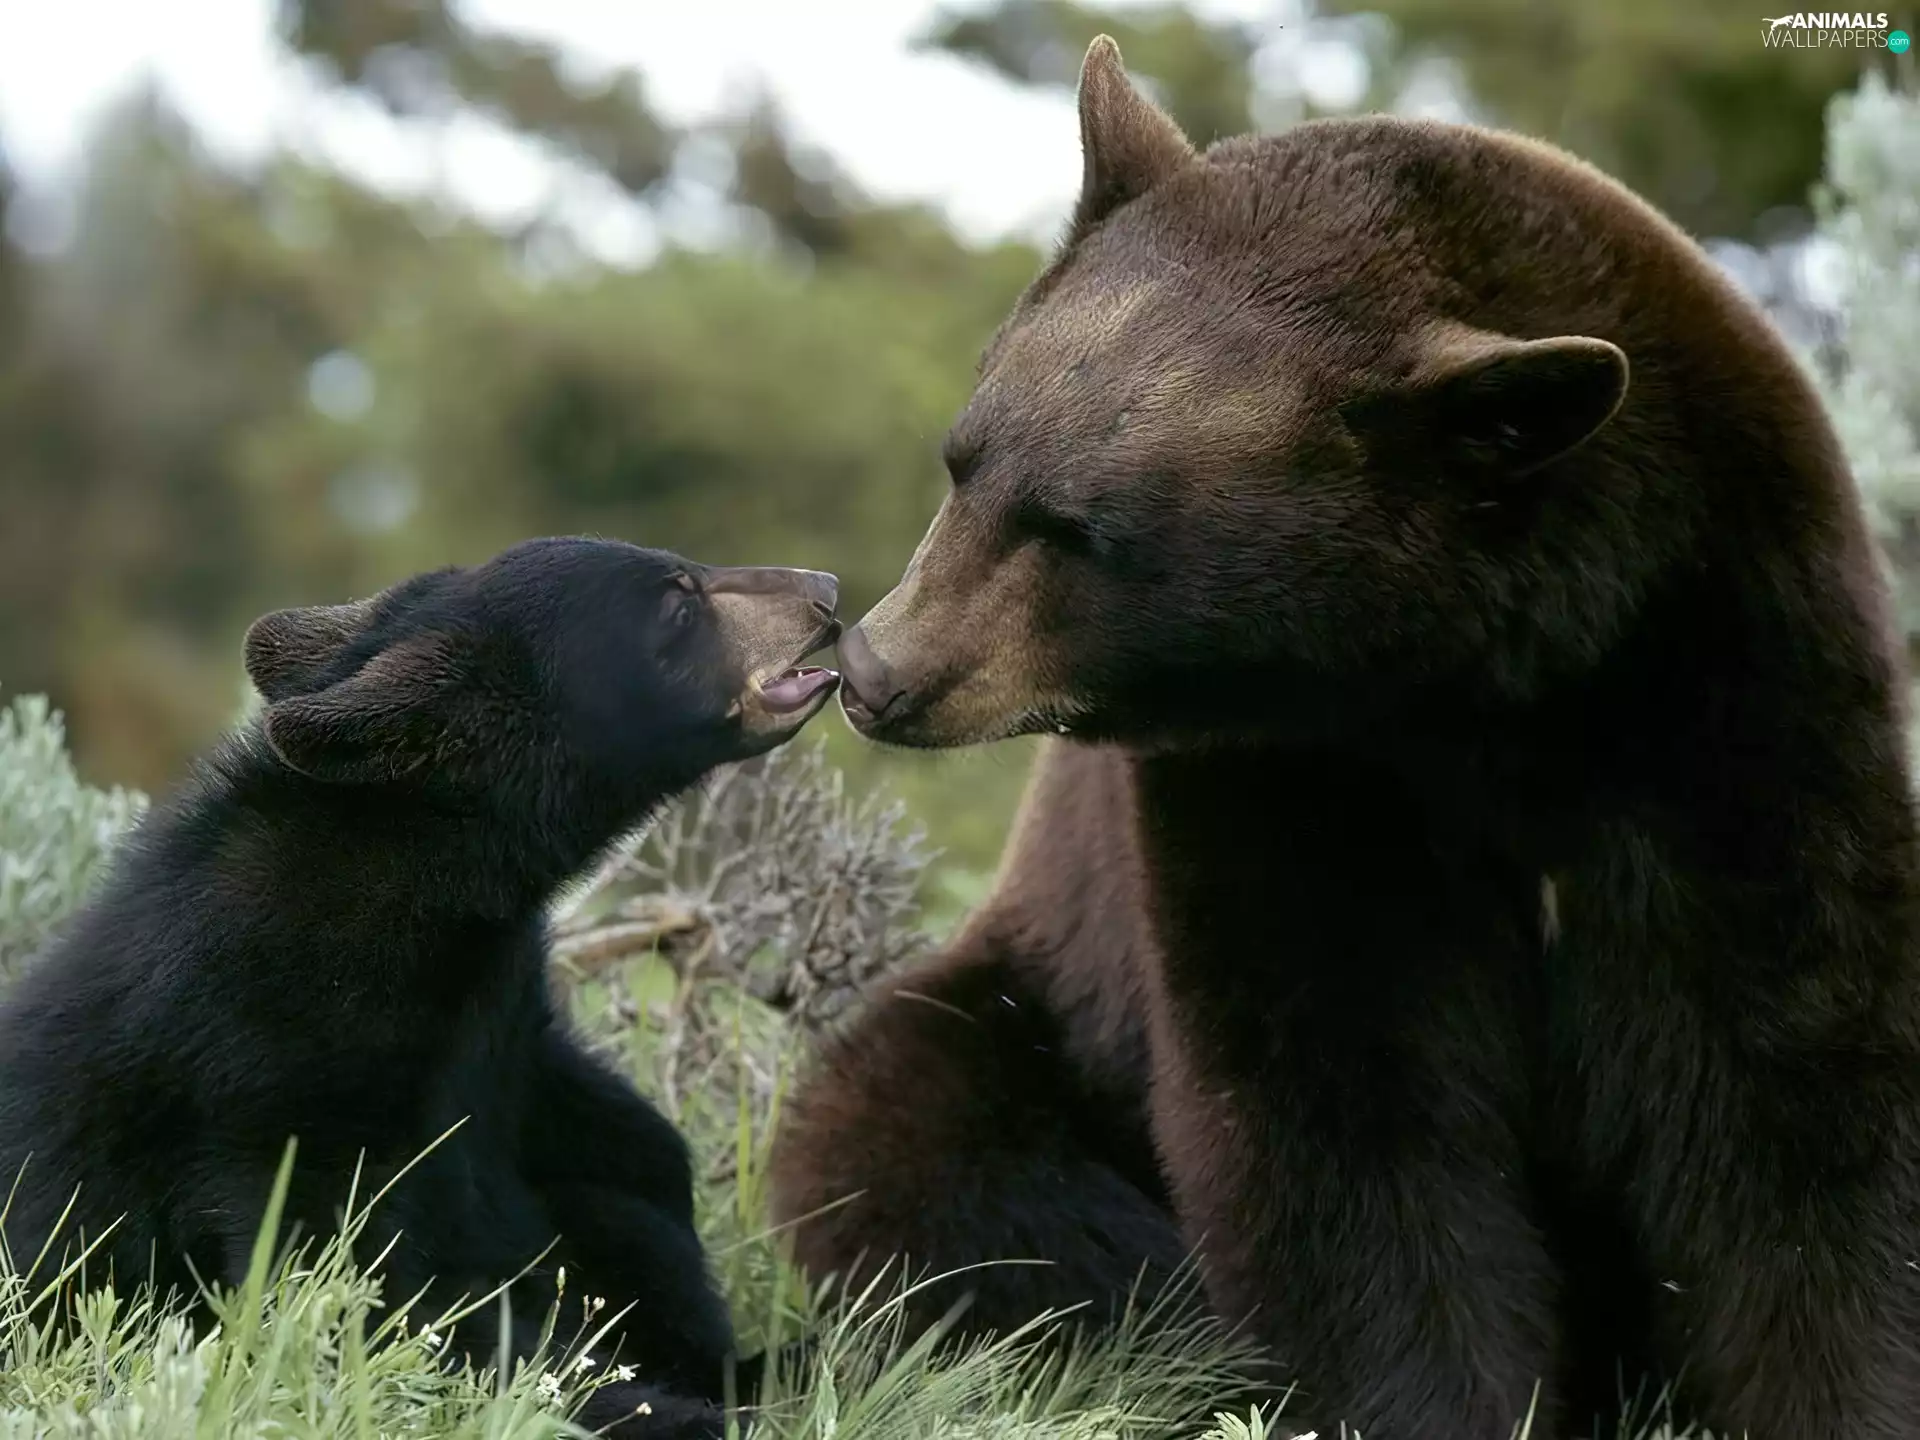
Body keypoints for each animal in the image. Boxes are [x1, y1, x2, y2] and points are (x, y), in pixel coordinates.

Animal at [0, 537, 843, 1440]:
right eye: (676, 599)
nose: (824, 592)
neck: (428, 895)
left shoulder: (501, 1023)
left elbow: (624, 1161)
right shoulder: (264, 1075)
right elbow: (351, 1286)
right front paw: (647, 1403)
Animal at [767, 35, 1920, 1440]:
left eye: (1083, 531)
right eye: (964, 459)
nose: (879, 670)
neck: (1487, 687)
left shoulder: (1733, 682)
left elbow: (1785, 1094)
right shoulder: (1290, 780)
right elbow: (1342, 1119)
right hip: (1026, 1016)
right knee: (924, 1153)